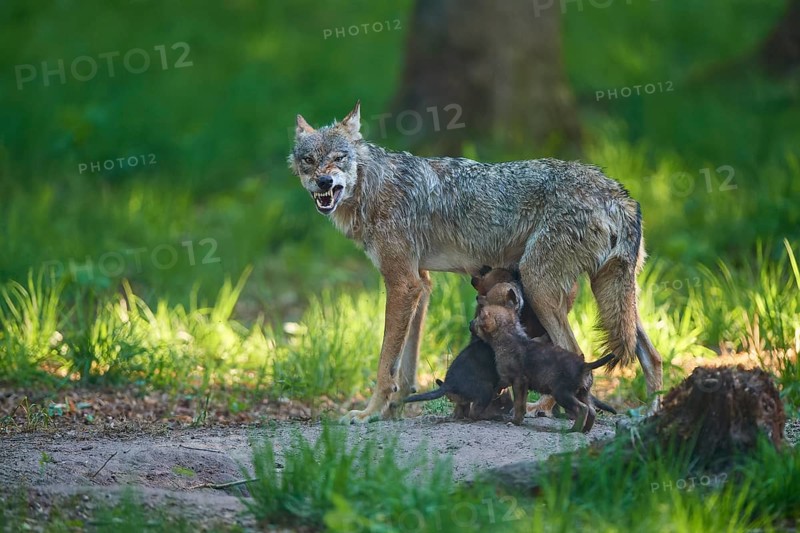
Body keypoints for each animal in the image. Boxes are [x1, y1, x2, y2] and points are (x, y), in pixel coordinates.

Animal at [289, 101, 662, 422]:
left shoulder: (402, 284)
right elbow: (406, 366)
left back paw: (547, 409)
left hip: (541, 287)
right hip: (612, 298)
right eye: (309, 160)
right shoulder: (421, 284)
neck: (373, 187)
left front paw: (370, 413)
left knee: (578, 352)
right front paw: (395, 408)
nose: (324, 181)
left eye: (339, 157)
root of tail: (617, 193)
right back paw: (650, 413)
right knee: (652, 356)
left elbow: (385, 364)